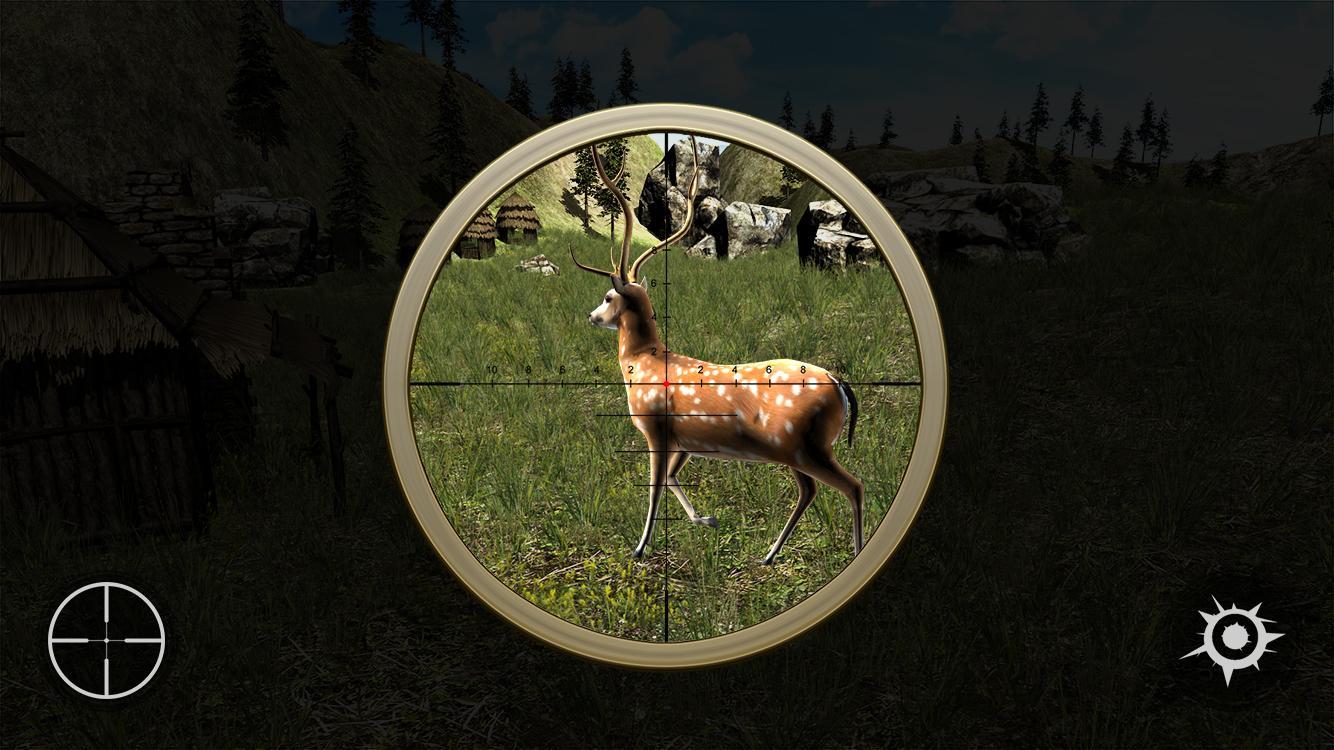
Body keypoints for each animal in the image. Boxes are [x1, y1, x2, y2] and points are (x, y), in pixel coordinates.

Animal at [570, 136, 865, 565]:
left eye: (608, 297)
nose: (592, 316)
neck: (643, 364)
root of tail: (840, 385)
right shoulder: (684, 440)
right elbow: (673, 477)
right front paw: (706, 520)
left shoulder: (655, 429)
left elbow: (655, 487)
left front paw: (639, 548)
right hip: (797, 449)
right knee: (809, 490)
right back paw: (769, 555)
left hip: (804, 445)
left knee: (853, 485)